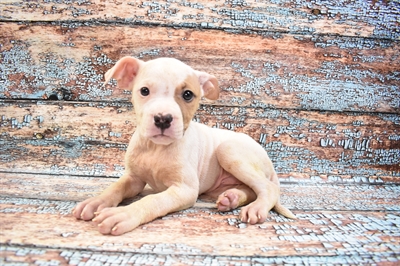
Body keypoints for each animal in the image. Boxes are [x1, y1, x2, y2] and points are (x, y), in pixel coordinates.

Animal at [73, 56, 296, 235]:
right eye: (144, 91)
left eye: (188, 94)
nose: (163, 119)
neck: (156, 148)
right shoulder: (133, 179)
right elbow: (115, 187)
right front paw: (95, 202)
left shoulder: (184, 190)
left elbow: (153, 200)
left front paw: (124, 214)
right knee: (250, 189)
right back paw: (231, 197)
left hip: (229, 151)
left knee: (267, 187)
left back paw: (256, 207)